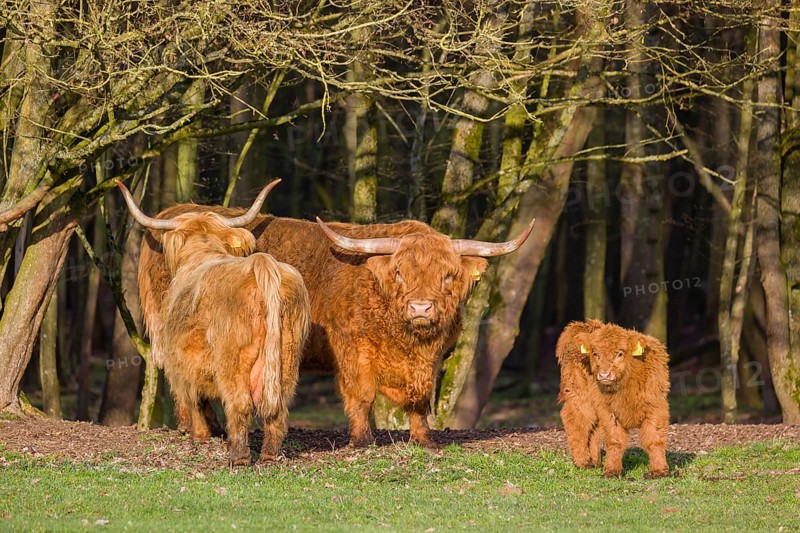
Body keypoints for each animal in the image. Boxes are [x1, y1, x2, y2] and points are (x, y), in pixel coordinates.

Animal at [118, 181, 310, 466]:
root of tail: (261, 264)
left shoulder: (180, 362)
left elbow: (193, 399)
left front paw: (200, 436)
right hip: (286, 359)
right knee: (277, 412)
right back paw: (268, 456)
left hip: (232, 362)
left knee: (238, 404)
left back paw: (239, 457)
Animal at [137, 187, 535, 449]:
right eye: (400, 273)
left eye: (447, 276)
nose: (421, 308)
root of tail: (177, 216)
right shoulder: (353, 348)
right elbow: (361, 395)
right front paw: (362, 440)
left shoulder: (432, 358)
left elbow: (421, 401)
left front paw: (424, 440)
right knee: (185, 382)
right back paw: (195, 429)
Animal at [556, 320, 670, 478]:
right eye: (595, 354)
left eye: (620, 353)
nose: (604, 375)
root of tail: (584, 325)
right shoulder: (609, 412)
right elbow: (615, 440)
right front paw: (611, 470)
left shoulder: (656, 407)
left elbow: (654, 439)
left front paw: (659, 470)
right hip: (579, 396)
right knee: (576, 421)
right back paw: (584, 463)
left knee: (593, 429)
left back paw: (595, 461)